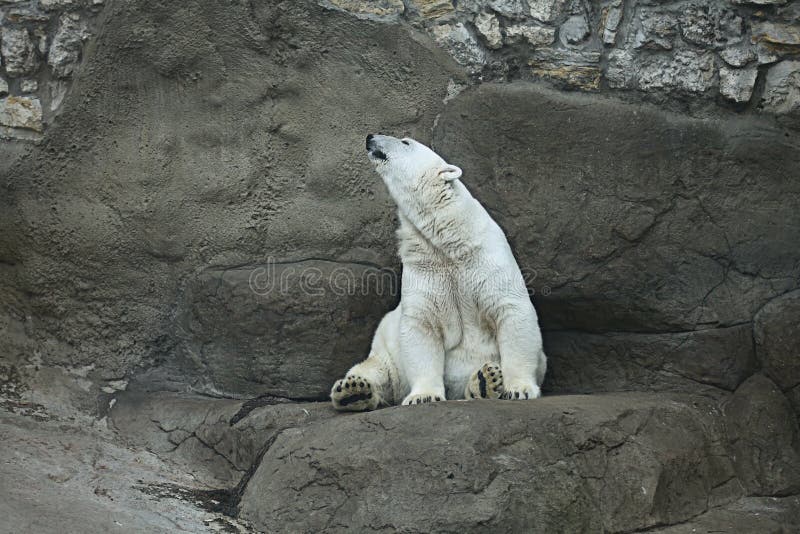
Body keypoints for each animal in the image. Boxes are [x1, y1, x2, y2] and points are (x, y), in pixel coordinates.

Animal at [330, 134, 546, 411]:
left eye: (405, 142)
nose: (371, 137)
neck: (450, 242)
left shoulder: (486, 258)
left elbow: (511, 310)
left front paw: (519, 389)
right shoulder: (426, 268)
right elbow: (422, 323)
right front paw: (423, 396)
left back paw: (485, 381)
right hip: (385, 349)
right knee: (375, 370)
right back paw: (353, 390)